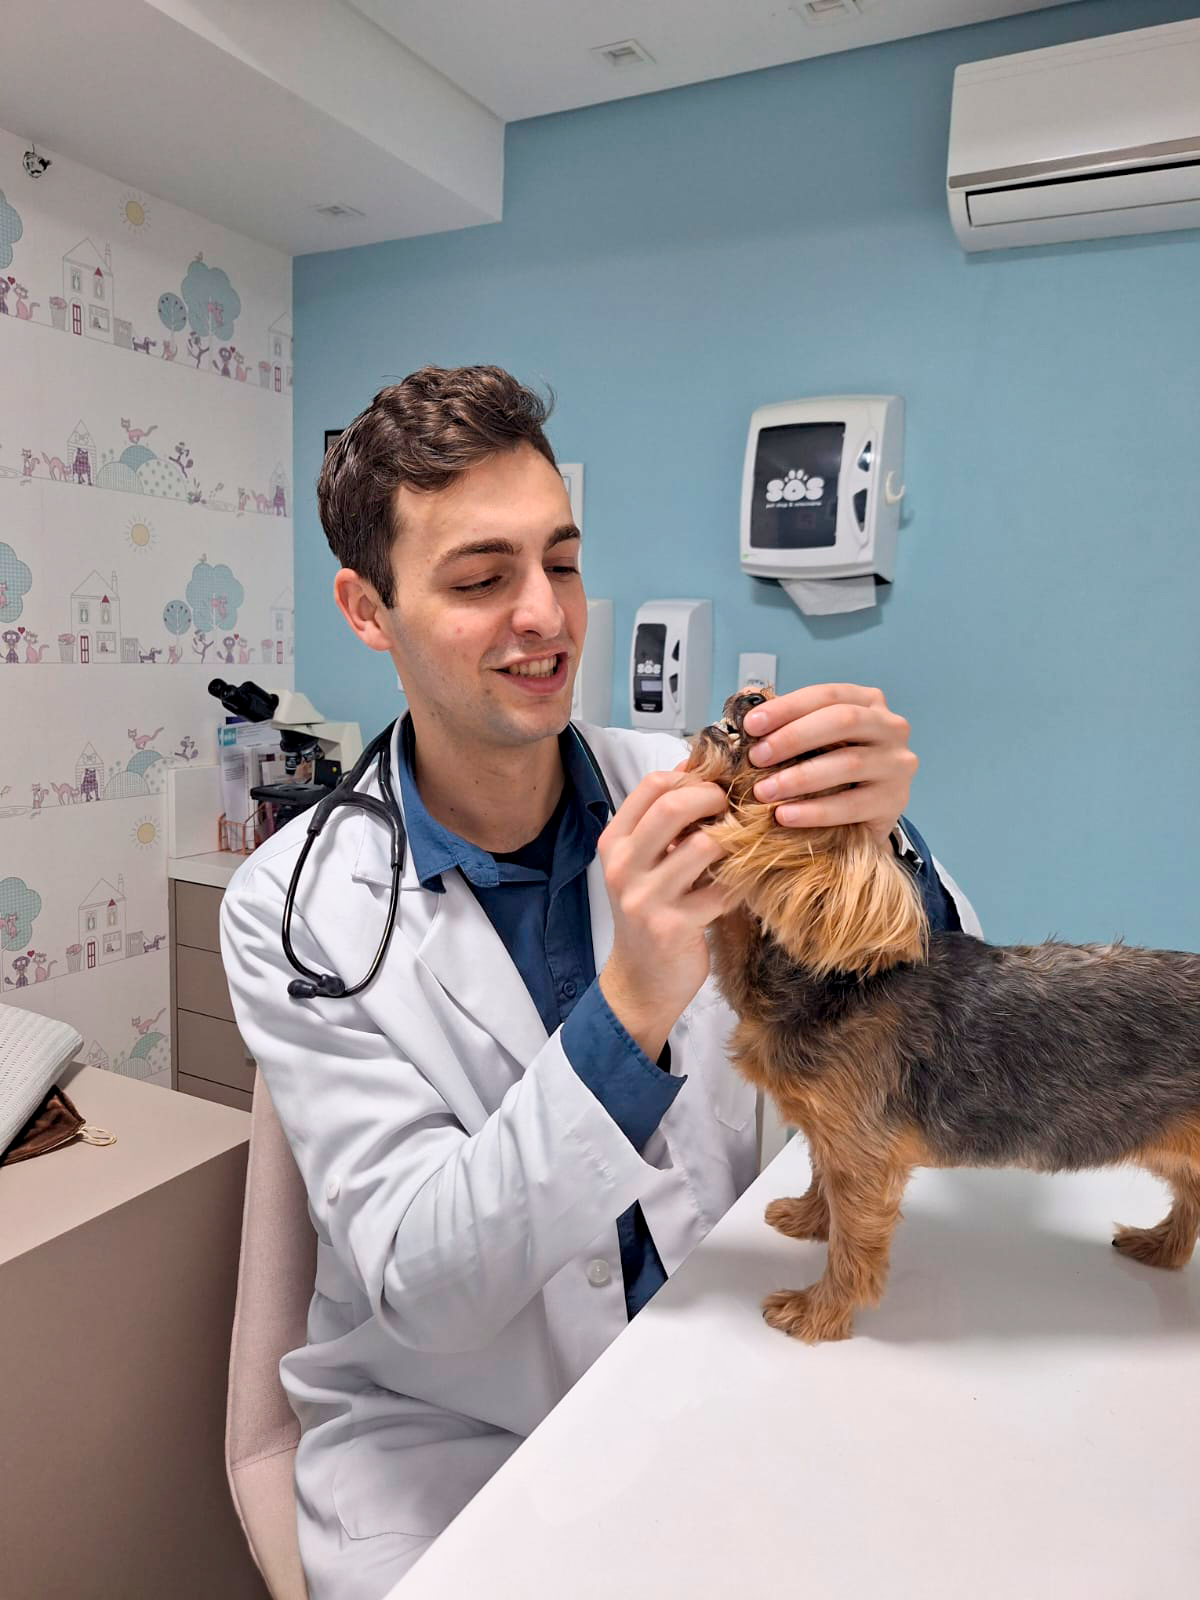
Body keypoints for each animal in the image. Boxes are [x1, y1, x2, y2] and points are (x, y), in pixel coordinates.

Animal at [685, 685, 1200, 1344]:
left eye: (810, 758)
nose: (753, 693)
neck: (819, 975)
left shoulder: (862, 1148)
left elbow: (854, 1241)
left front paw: (817, 1313)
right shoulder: (833, 1133)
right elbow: (823, 1180)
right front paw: (807, 1217)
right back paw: (1160, 1245)